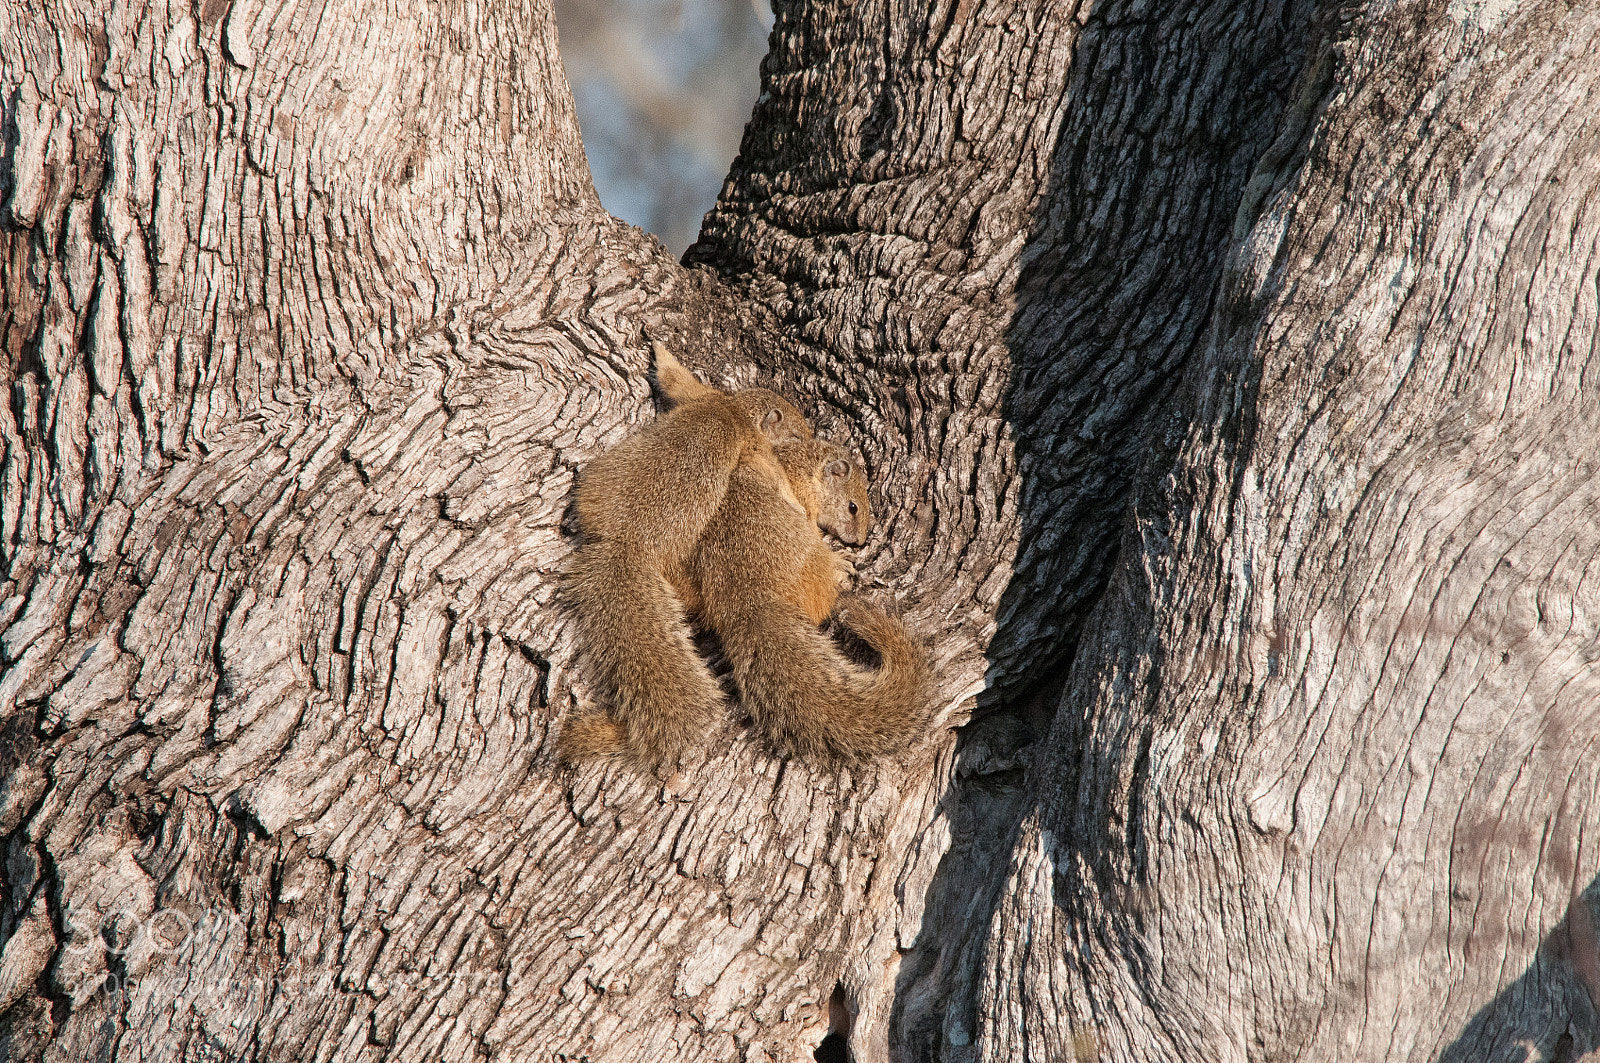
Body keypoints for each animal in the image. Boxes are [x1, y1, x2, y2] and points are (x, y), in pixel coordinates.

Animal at [562, 343, 812, 768]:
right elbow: (771, 473)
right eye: (794, 430)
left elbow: (676, 379)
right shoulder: (749, 441)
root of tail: (627, 545)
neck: (733, 409)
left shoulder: (705, 399)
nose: (811, 437)